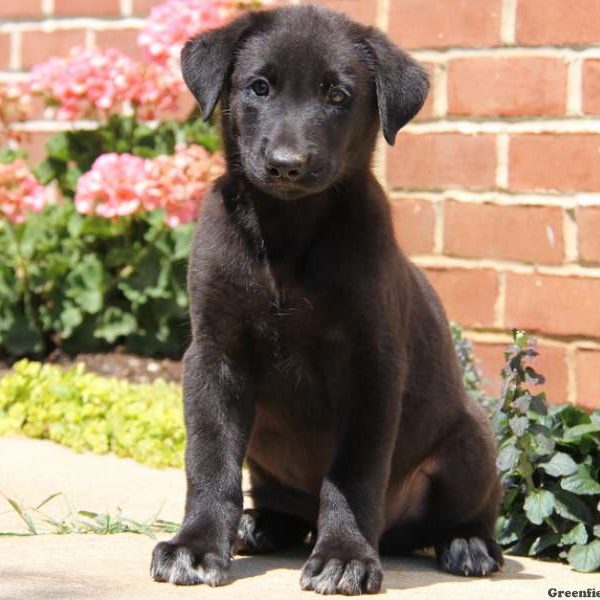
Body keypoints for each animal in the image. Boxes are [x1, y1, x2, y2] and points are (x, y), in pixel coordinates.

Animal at [149, 4, 502, 596]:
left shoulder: (372, 365)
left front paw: (344, 556)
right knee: (281, 503)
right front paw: (195, 545)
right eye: (259, 87)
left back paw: (467, 544)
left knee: (470, 512)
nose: (287, 164)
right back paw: (260, 524)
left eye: (338, 95)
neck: (288, 232)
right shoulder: (214, 355)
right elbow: (210, 458)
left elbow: (353, 473)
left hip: (471, 441)